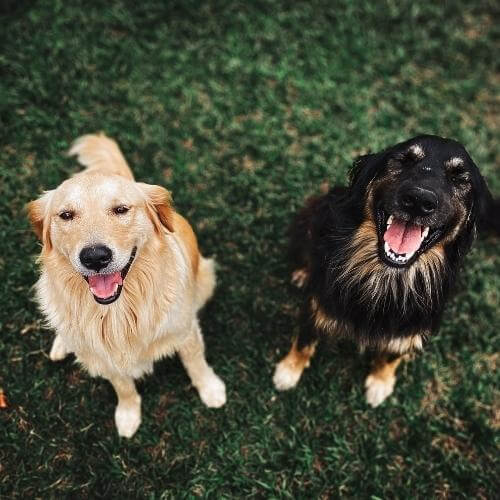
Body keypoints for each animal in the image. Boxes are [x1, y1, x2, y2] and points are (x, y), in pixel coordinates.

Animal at [28, 134, 228, 438]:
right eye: (66, 215)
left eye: (121, 209)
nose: (95, 257)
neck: (118, 312)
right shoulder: (107, 357)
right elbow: (123, 387)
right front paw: (128, 414)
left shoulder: (184, 331)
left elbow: (196, 363)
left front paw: (211, 389)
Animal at [274, 136, 496, 406]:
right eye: (404, 160)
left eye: (459, 178)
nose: (419, 201)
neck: (386, 275)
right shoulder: (316, 303)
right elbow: (304, 341)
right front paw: (288, 371)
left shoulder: (411, 329)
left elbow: (391, 355)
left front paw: (380, 383)